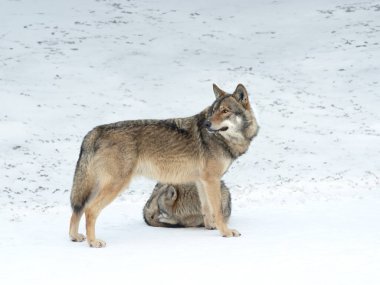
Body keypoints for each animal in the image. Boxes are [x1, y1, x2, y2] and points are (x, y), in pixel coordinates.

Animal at [69, 82, 258, 246]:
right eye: (213, 111)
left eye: (225, 111)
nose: (207, 123)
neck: (223, 139)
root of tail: (95, 131)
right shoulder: (212, 180)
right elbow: (217, 209)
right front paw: (225, 232)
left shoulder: (202, 181)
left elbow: (207, 209)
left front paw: (210, 227)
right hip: (114, 186)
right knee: (90, 210)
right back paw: (93, 242)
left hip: (95, 186)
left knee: (78, 208)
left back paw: (75, 237)